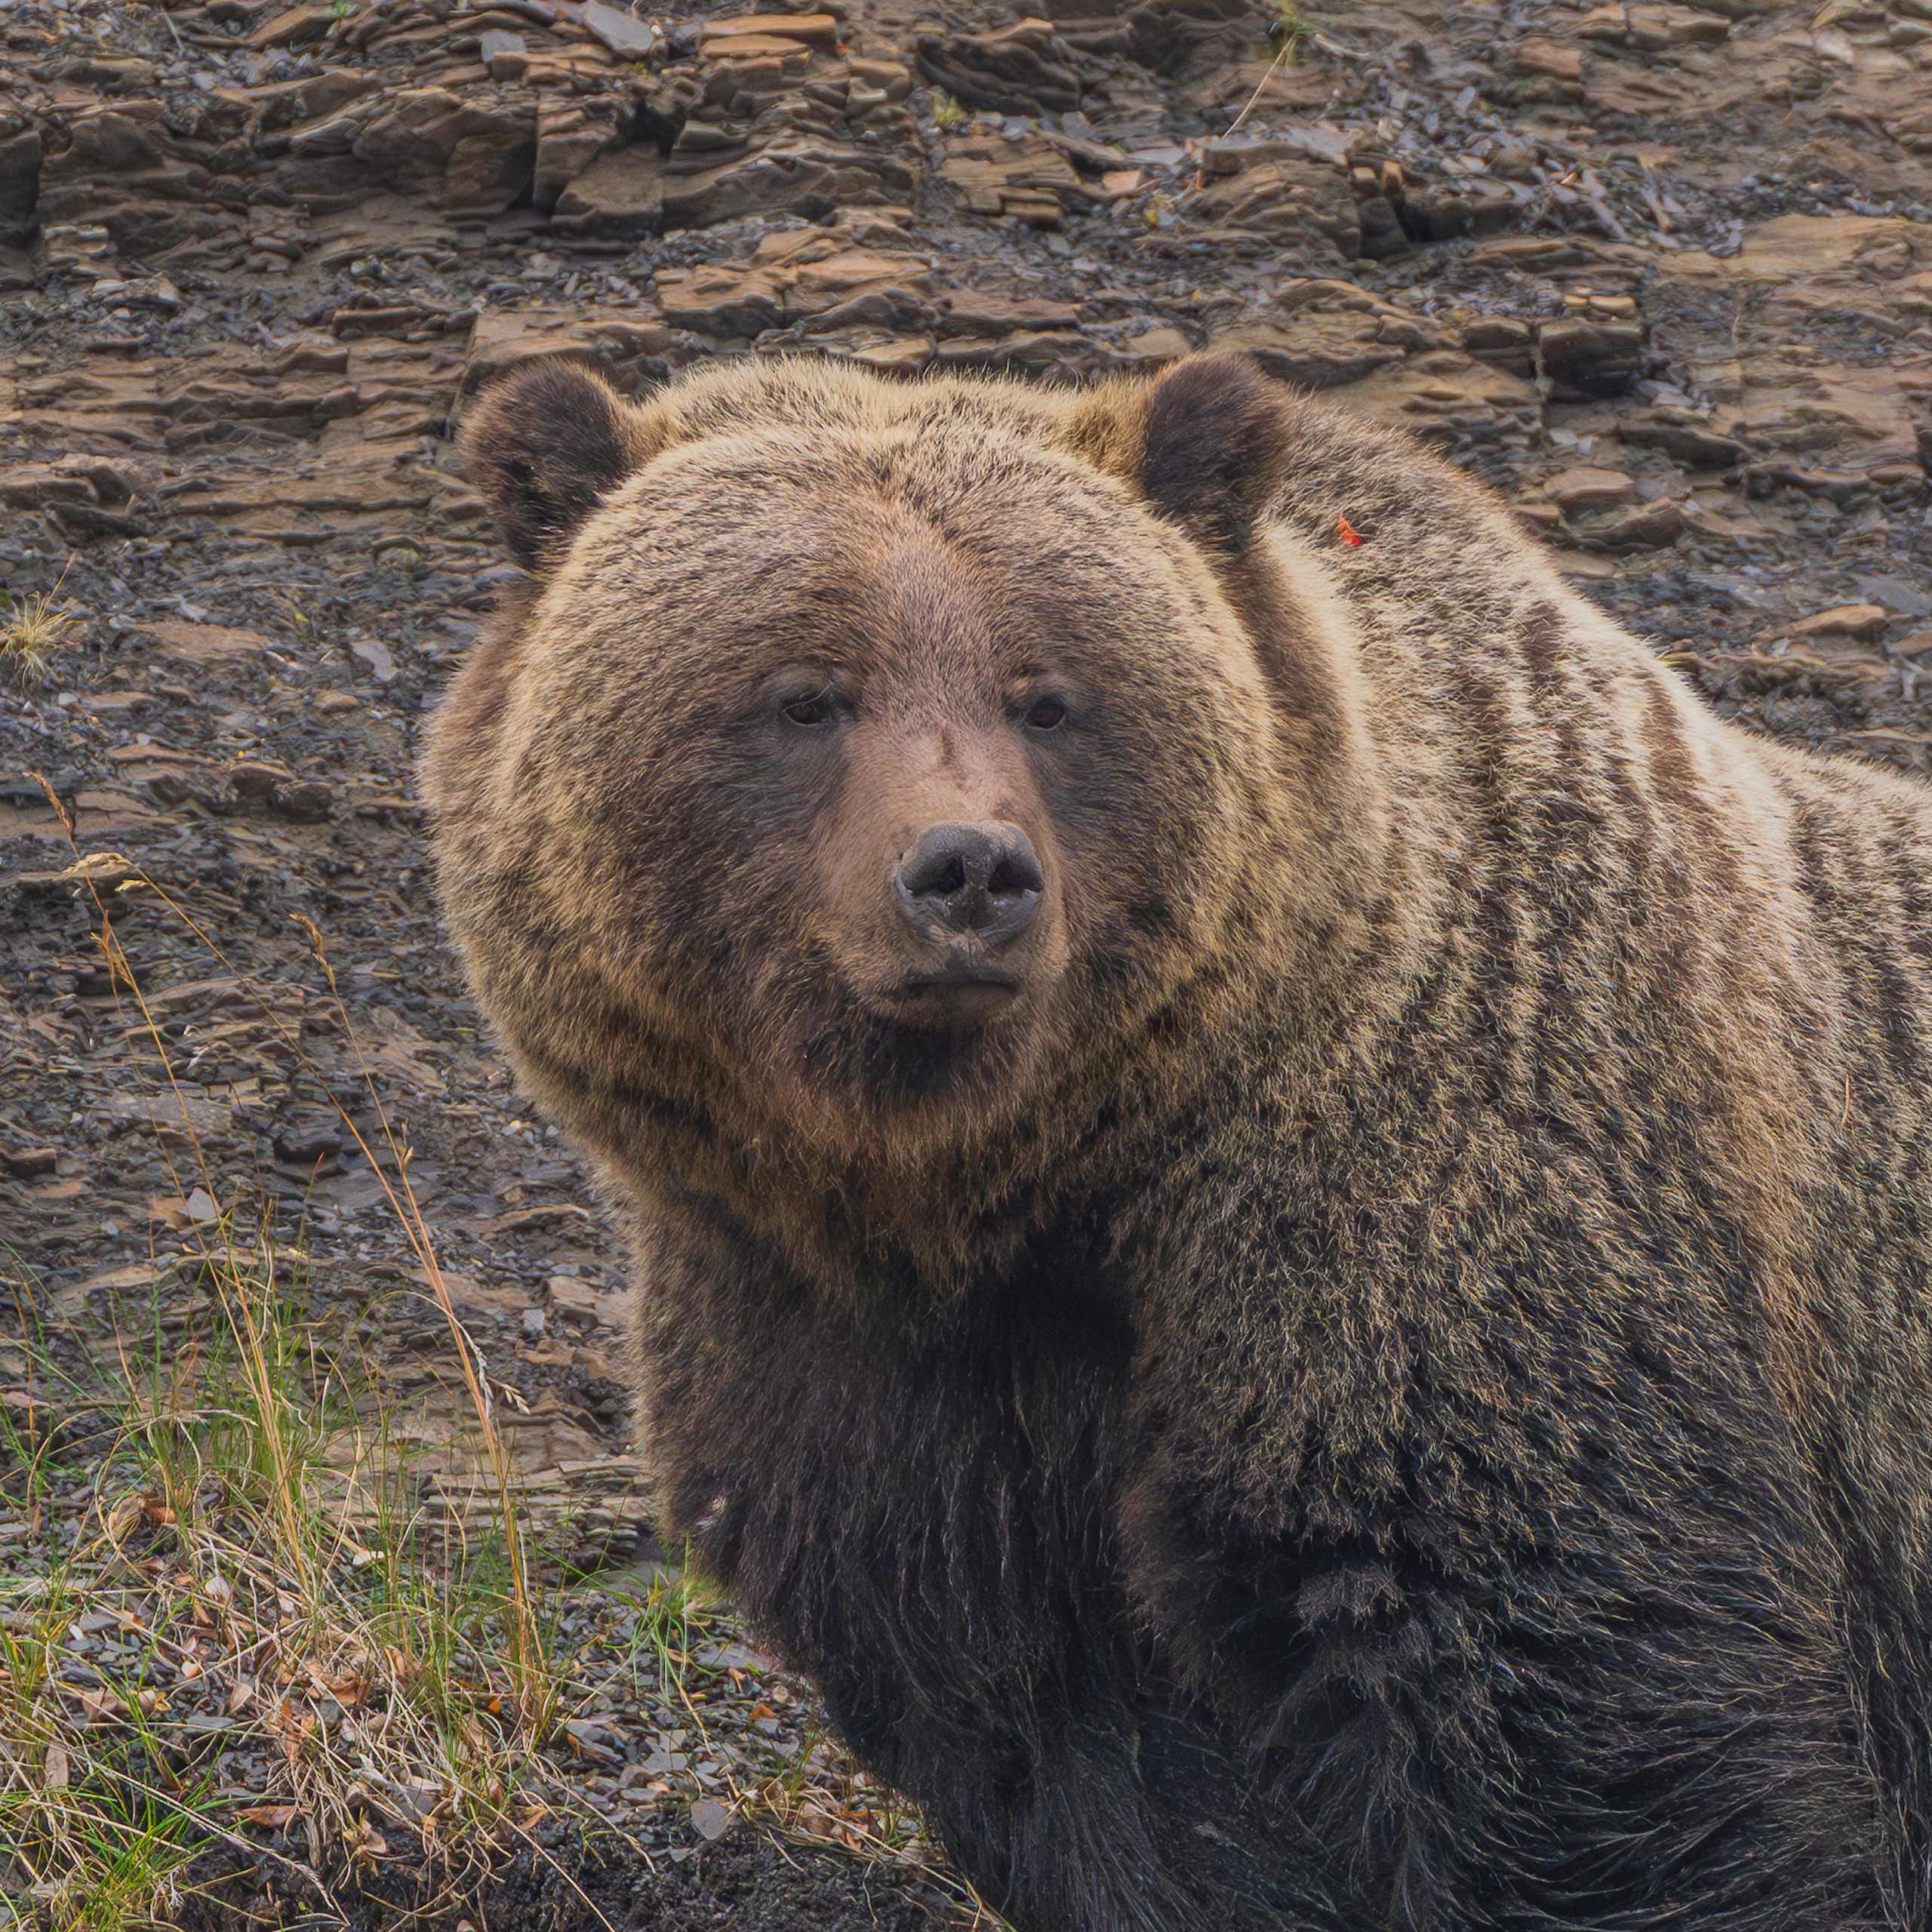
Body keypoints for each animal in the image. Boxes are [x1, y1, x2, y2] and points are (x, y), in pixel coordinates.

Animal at [422, 349, 1932, 1932]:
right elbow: (1080, 1755)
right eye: (803, 694)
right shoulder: (850, 1362)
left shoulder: (1449, 1242)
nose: (969, 873)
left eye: (1047, 697)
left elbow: (1587, 1721)